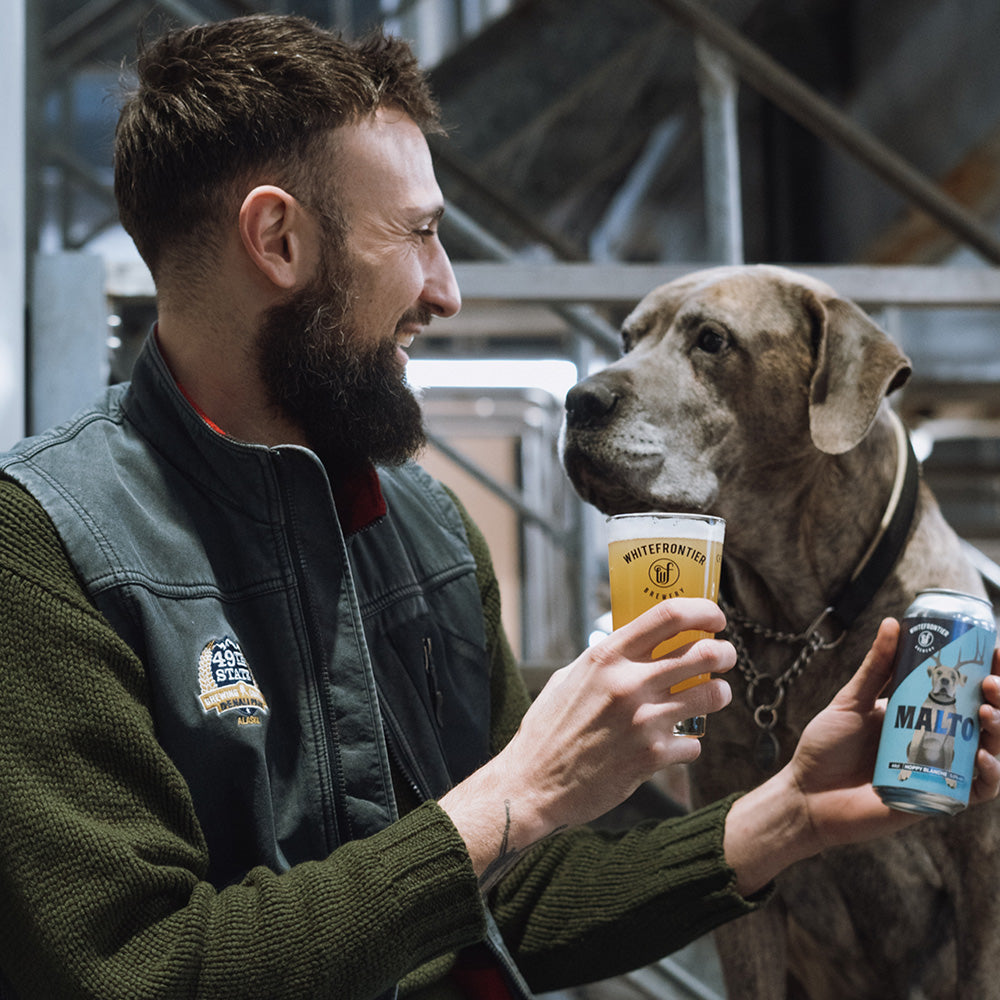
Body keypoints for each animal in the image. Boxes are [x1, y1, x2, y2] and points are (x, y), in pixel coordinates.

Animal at [560, 266, 996, 1000]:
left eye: (712, 340)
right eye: (626, 338)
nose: (578, 399)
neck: (796, 620)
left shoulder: (980, 866)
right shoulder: (743, 870)